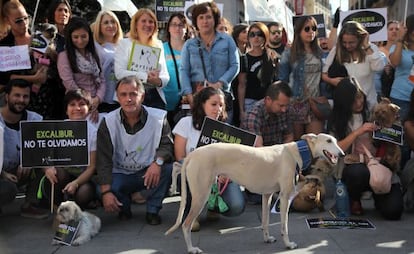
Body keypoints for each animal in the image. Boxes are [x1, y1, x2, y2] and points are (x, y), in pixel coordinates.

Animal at [165, 134, 342, 253]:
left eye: (336, 140)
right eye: (328, 141)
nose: (342, 154)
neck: (296, 152)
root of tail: (193, 155)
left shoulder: (267, 195)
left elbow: (265, 221)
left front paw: (267, 238)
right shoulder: (285, 197)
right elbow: (284, 226)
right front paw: (288, 244)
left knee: (177, 166)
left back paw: (173, 186)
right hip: (201, 194)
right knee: (186, 224)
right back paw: (191, 248)